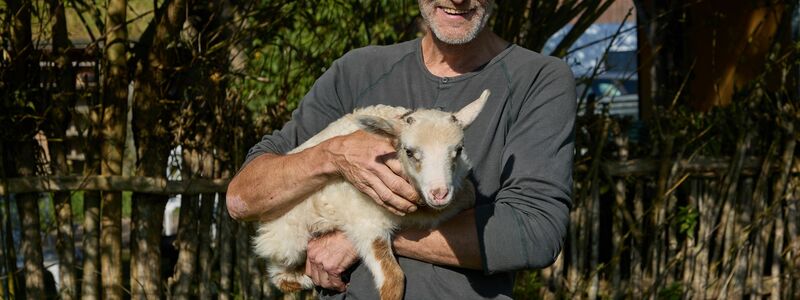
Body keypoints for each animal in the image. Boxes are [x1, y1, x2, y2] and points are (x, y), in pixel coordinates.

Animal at [253, 89, 490, 300]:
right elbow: (394, 280)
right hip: (288, 239)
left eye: (458, 150)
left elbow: (470, 193)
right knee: (279, 274)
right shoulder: (367, 224)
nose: (439, 194)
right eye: (409, 151)